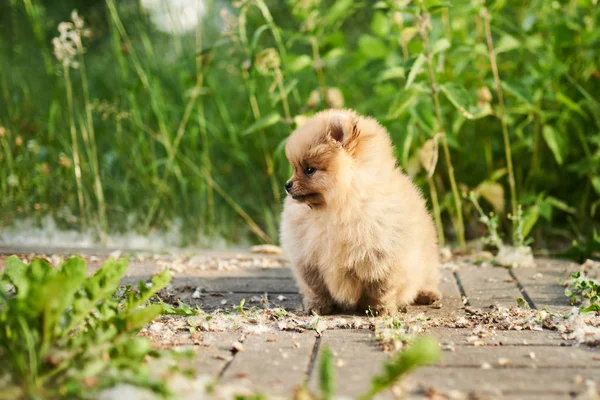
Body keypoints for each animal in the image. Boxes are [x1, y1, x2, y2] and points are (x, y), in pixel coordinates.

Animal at [280, 108, 440, 314]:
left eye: (309, 170)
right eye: (294, 168)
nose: (287, 185)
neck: (337, 208)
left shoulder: (384, 255)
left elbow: (381, 287)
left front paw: (382, 309)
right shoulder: (308, 257)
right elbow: (316, 287)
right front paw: (317, 306)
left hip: (427, 258)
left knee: (427, 276)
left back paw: (428, 294)